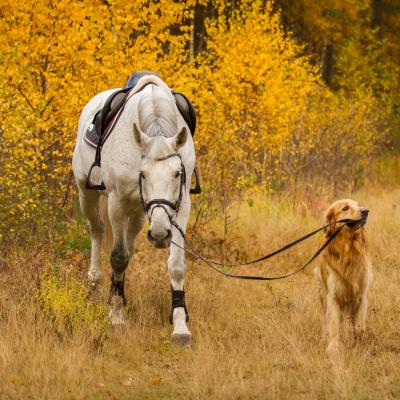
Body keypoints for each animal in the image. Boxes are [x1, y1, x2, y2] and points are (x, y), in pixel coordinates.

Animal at [73, 76, 197, 346]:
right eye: (143, 173)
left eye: (177, 173)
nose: (160, 234)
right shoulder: (117, 203)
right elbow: (118, 258)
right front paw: (117, 317)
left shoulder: (180, 205)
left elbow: (176, 266)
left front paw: (180, 326)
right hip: (87, 194)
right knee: (97, 231)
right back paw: (94, 285)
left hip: (139, 213)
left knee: (128, 247)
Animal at [316, 200, 372, 354]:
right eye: (345, 208)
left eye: (358, 204)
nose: (365, 211)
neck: (349, 249)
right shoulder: (333, 296)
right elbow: (334, 324)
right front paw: (334, 347)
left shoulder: (362, 294)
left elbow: (359, 326)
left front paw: (358, 337)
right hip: (322, 291)